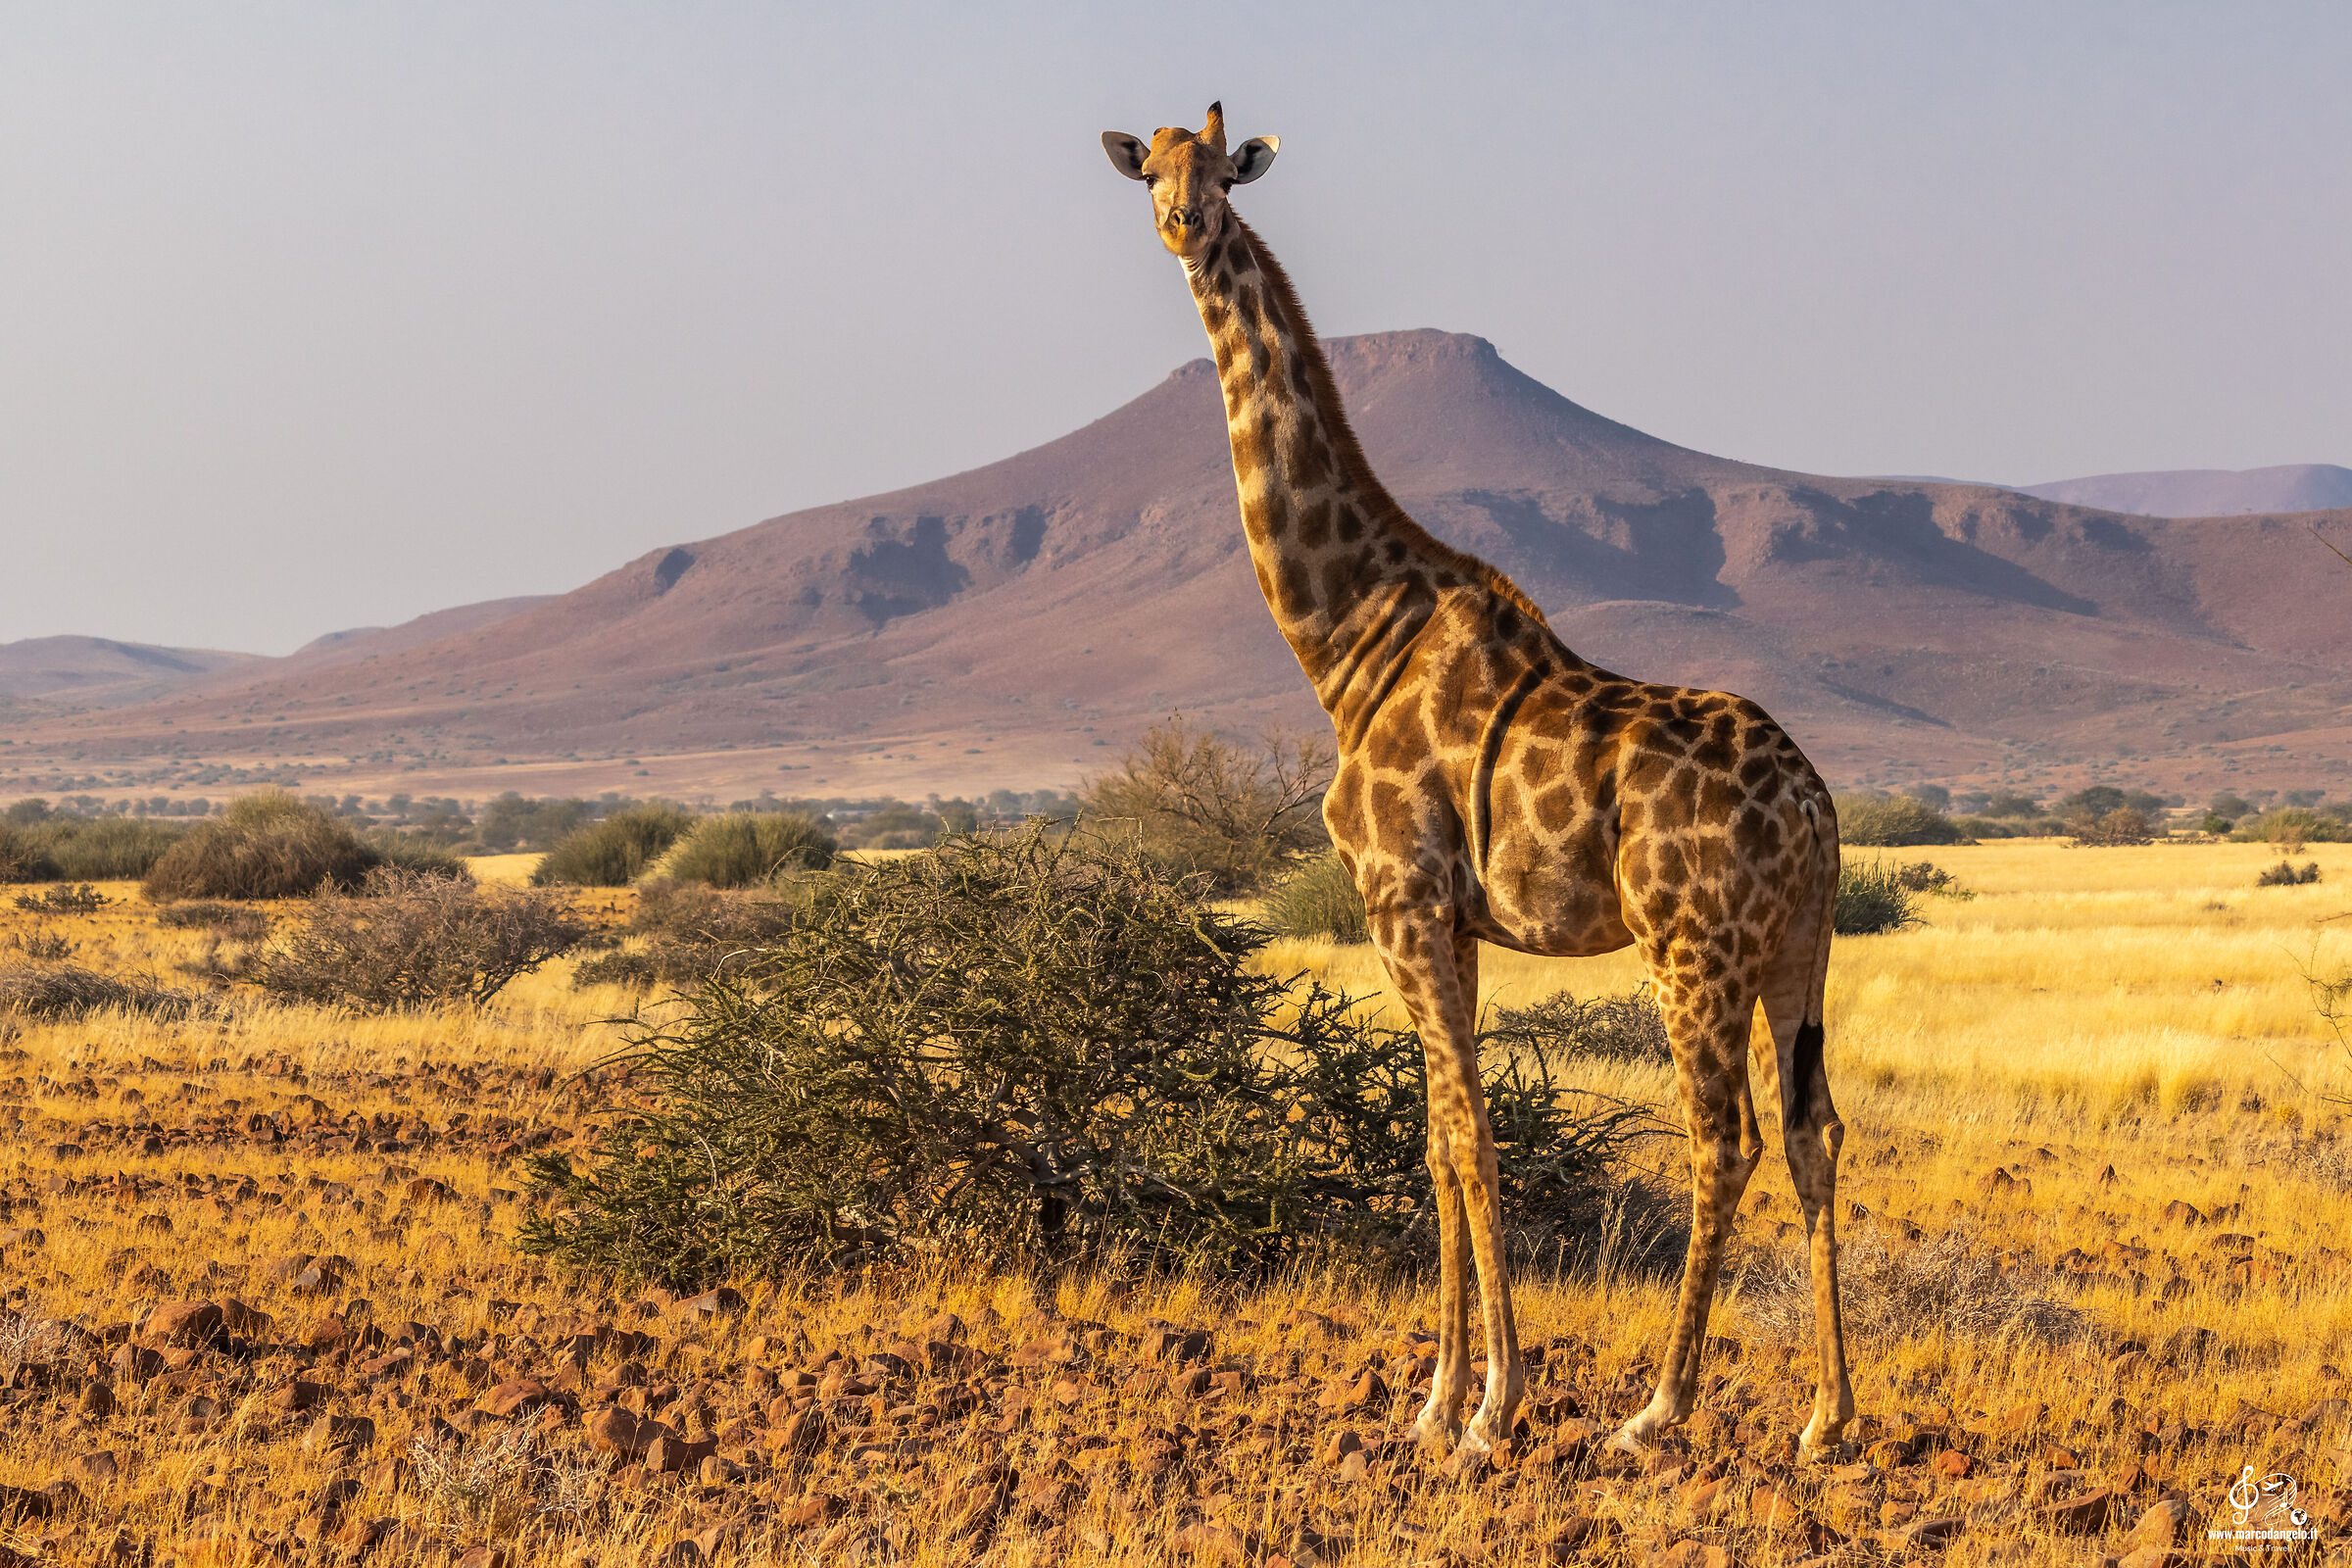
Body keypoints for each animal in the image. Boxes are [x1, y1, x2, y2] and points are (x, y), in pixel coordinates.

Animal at [1102, 105, 1855, 1462]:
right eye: (1155, 171)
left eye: (1223, 176)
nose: (1183, 225)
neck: (1347, 641)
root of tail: (1818, 808)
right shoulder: (1447, 920)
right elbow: (1442, 1136)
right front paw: (1435, 1397)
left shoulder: (1398, 899)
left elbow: (1466, 1130)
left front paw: (1488, 1405)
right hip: (1798, 949)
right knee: (1815, 1129)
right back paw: (1830, 1415)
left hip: (1693, 946)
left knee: (1725, 1139)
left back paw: (1655, 1409)